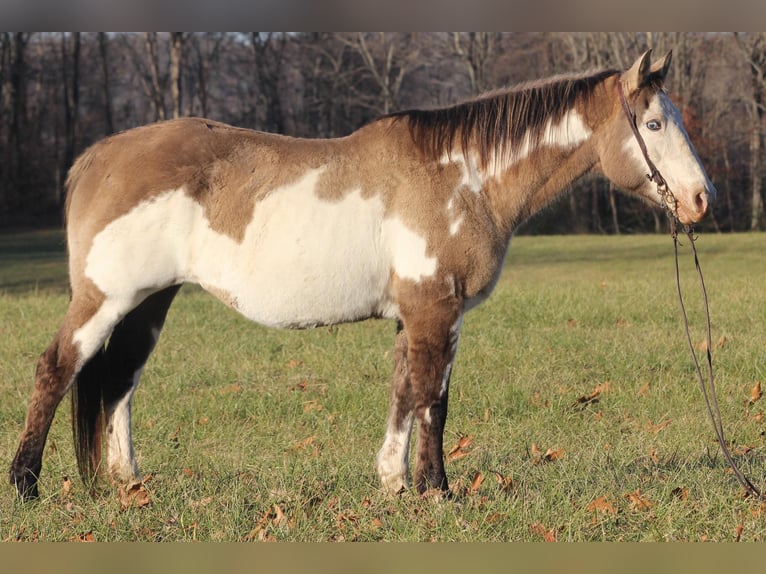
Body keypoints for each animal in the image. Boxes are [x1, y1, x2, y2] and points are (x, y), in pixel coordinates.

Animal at [9, 50, 716, 500]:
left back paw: (128, 481)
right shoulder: (433, 310)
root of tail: (98, 156)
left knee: (119, 381)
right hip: (105, 298)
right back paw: (26, 483)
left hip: (148, 303)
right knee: (57, 368)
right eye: (655, 123)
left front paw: (395, 482)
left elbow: (408, 393)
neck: (464, 175)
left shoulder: (422, 314)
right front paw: (437, 492)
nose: (700, 200)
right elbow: (432, 399)